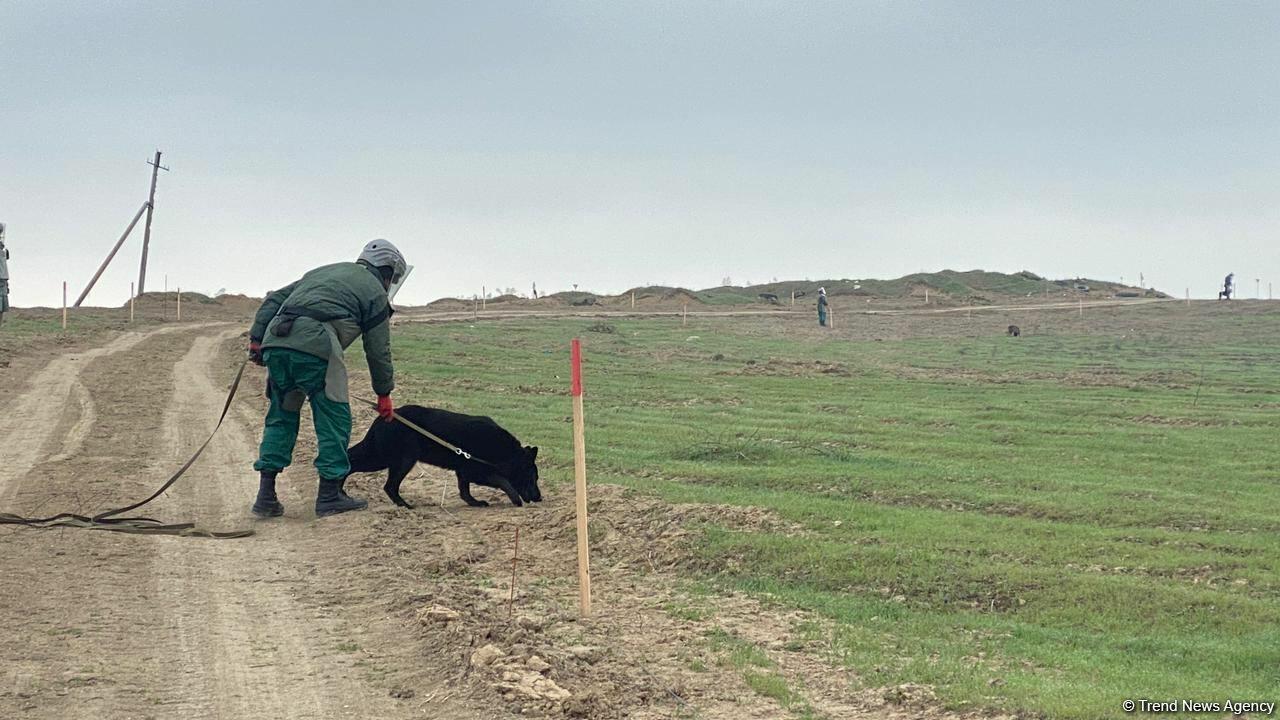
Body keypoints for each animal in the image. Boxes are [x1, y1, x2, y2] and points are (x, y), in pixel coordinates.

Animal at [345, 404, 540, 509]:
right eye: (533, 478)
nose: (540, 498)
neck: (505, 451)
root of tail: (382, 418)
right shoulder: (476, 472)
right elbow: (503, 481)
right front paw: (515, 499)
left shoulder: (464, 473)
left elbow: (465, 492)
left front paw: (474, 502)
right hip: (395, 459)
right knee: (389, 486)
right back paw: (405, 506)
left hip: (382, 457)